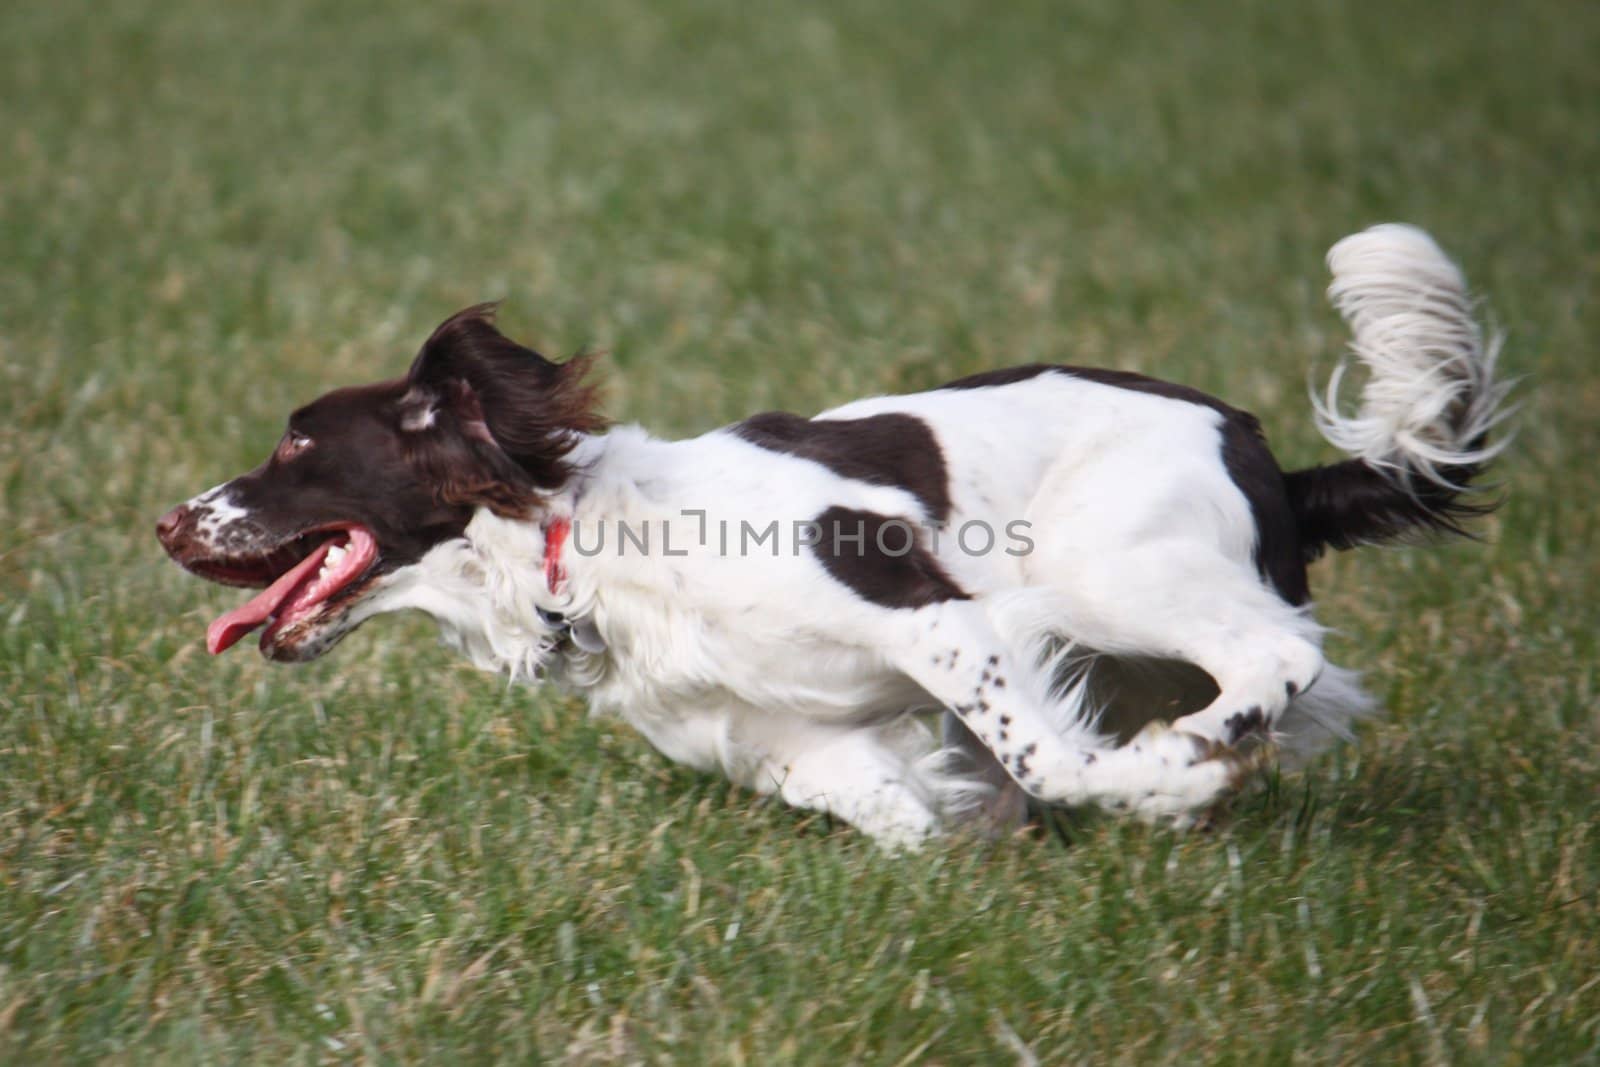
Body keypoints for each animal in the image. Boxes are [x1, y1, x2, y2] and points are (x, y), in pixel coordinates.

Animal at [159, 227, 1510, 851]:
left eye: (295, 442)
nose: (167, 522)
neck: (590, 552)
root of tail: (1268, 455)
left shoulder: (938, 619)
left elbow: (1050, 760)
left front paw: (1166, 783)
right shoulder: (794, 741)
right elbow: (912, 812)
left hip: (1107, 571)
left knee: (1277, 660)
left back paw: (1194, 754)